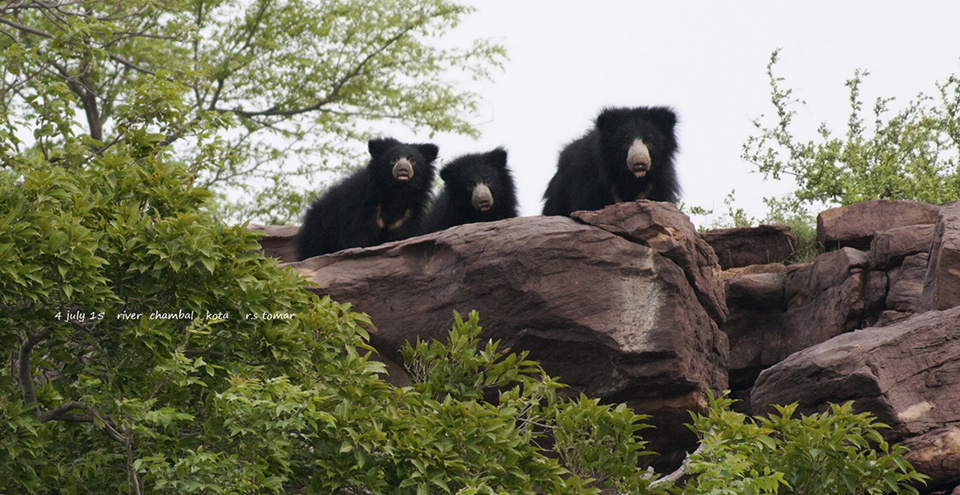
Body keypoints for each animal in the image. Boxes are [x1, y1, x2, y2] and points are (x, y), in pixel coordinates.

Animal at [296, 137, 438, 260]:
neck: (396, 192)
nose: (403, 169)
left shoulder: (407, 215)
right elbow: (358, 236)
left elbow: (401, 235)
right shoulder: (362, 207)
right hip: (319, 231)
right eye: (393, 159)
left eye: (412, 160)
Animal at [542, 106, 679, 216]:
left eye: (649, 142)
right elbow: (587, 204)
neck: (630, 178)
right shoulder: (589, 181)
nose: (640, 163)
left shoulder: (657, 185)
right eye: (626, 142)